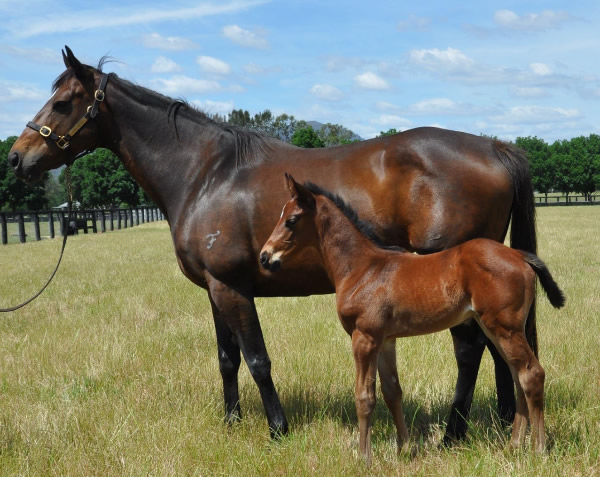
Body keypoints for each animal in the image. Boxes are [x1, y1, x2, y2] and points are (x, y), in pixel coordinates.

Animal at [7, 47, 536, 440]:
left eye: (62, 102)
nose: (16, 158)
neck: (205, 174)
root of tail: (493, 147)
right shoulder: (215, 288)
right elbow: (227, 359)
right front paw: (232, 422)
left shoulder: (231, 287)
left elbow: (257, 359)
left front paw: (277, 428)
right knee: (497, 349)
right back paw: (504, 421)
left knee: (471, 350)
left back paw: (454, 432)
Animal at [260, 173, 564, 462]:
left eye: (291, 220)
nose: (264, 256)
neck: (362, 268)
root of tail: (520, 256)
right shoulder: (385, 340)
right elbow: (392, 392)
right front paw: (405, 449)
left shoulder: (364, 338)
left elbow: (365, 396)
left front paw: (364, 457)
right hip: (497, 328)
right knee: (518, 374)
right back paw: (514, 446)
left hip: (505, 327)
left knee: (532, 374)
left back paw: (539, 449)